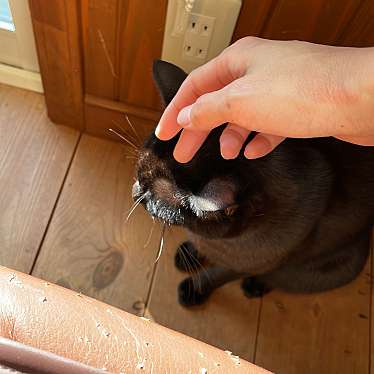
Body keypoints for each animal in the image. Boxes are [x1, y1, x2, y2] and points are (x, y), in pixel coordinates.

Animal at [133, 60, 374, 306]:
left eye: (152, 200)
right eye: (139, 177)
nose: (135, 192)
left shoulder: (250, 264)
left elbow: (218, 274)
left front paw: (195, 288)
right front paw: (191, 252)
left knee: (281, 279)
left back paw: (255, 286)